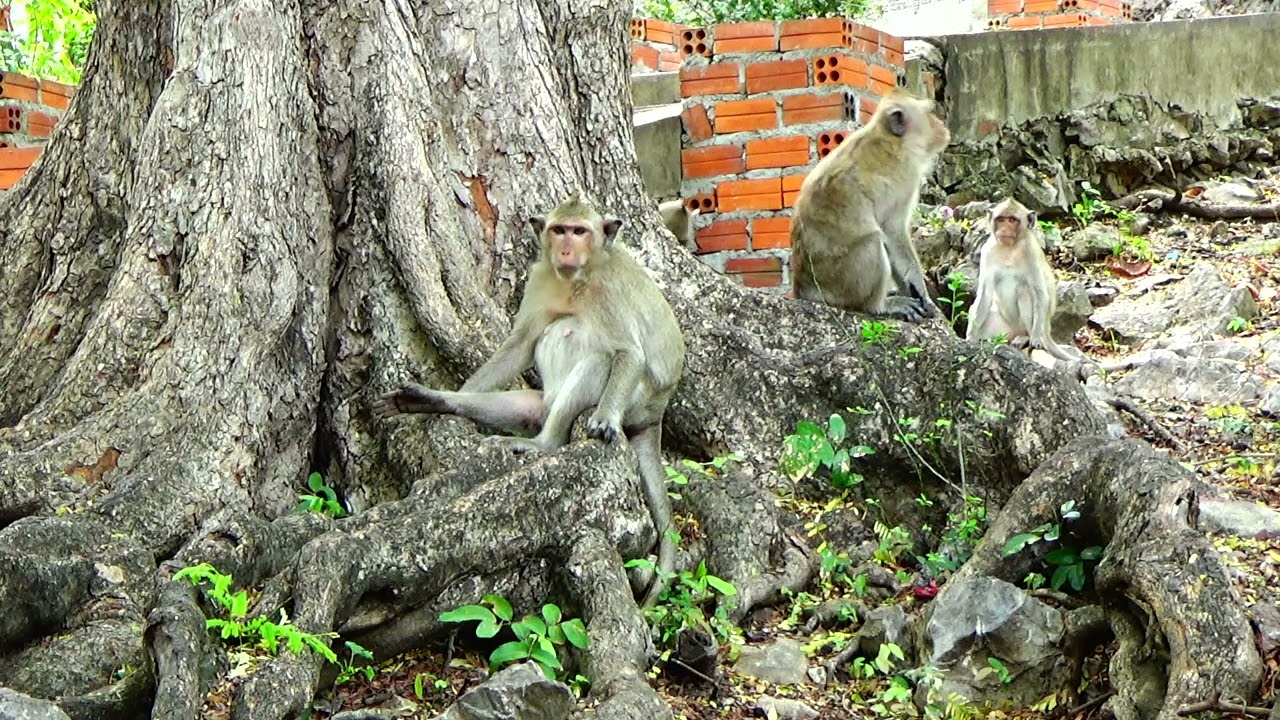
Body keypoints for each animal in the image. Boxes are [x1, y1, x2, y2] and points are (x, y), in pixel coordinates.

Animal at [374, 191, 686, 609]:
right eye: (559, 230)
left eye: (580, 232)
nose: (566, 249)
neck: (577, 278)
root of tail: (657, 414)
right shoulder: (541, 278)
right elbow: (519, 346)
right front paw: (449, 394)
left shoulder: (608, 292)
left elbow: (628, 353)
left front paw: (604, 419)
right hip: (545, 403)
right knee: (535, 392)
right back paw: (439, 402)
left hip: (636, 400)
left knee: (598, 357)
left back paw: (544, 444)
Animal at [789, 88, 950, 323]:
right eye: (929, 113)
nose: (941, 125)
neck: (889, 139)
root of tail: (803, 288)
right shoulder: (906, 176)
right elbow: (893, 231)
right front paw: (921, 291)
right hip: (842, 281)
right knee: (873, 240)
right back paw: (880, 305)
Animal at [965, 197, 1088, 363]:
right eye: (1001, 219)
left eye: (1012, 220)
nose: (1004, 230)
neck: (1009, 248)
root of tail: (1048, 331)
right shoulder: (987, 251)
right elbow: (984, 295)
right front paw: (970, 337)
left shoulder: (1031, 253)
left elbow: (1040, 293)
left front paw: (1035, 339)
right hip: (1003, 327)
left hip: (1035, 325)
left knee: (1025, 291)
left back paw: (1027, 337)